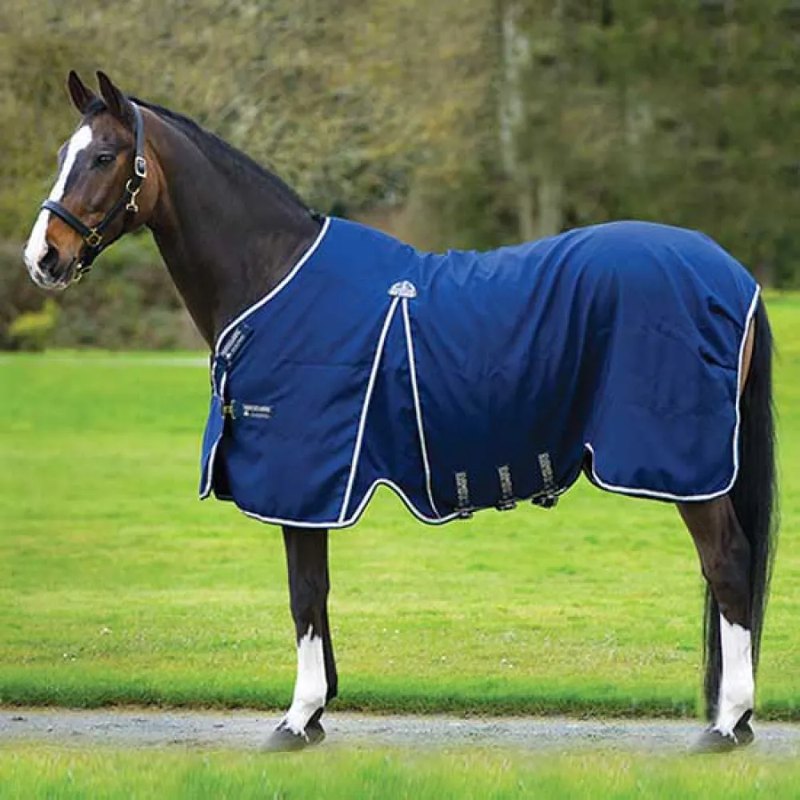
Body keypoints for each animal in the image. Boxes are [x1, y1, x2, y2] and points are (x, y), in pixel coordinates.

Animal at [23, 71, 777, 753]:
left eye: (103, 156)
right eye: (63, 152)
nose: (43, 258)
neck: (274, 274)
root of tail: (735, 275)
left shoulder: (305, 480)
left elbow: (304, 592)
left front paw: (298, 718)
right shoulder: (311, 489)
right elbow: (318, 593)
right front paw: (318, 711)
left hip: (687, 467)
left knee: (727, 564)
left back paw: (728, 724)